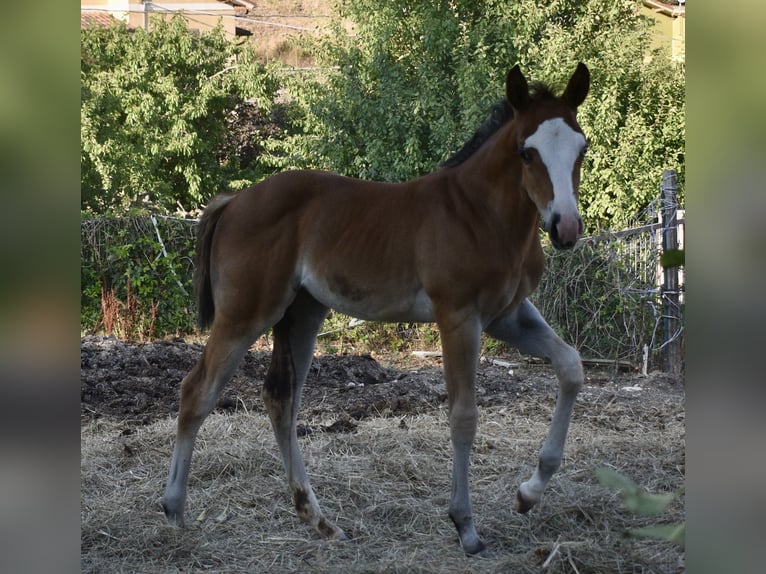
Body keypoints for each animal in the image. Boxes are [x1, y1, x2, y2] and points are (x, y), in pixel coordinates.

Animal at [164, 63, 592, 560]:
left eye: (581, 148)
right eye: (527, 152)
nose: (565, 227)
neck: (481, 214)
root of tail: (233, 200)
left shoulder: (508, 314)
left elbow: (571, 367)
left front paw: (528, 493)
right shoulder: (459, 316)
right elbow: (464, 416)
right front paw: (465, 526)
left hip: (303, 314)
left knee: (281, 400)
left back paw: (319, 520)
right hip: (245, 314)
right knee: (197, 391)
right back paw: (173, 511)